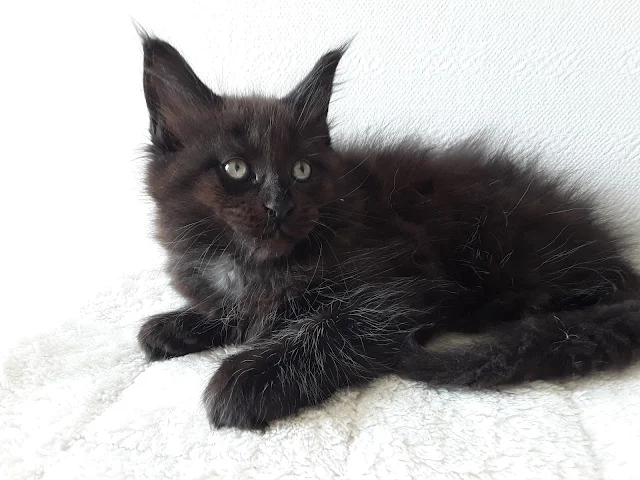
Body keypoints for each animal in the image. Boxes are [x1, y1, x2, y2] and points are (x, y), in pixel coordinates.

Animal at [137, 34, 640, 430]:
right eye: (236, 169)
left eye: (301, 170)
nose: (281, 205)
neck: (252, 265)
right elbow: (233, 310)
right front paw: (176, 324)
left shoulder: (405, 284)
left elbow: (333, 325)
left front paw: (247, 378)